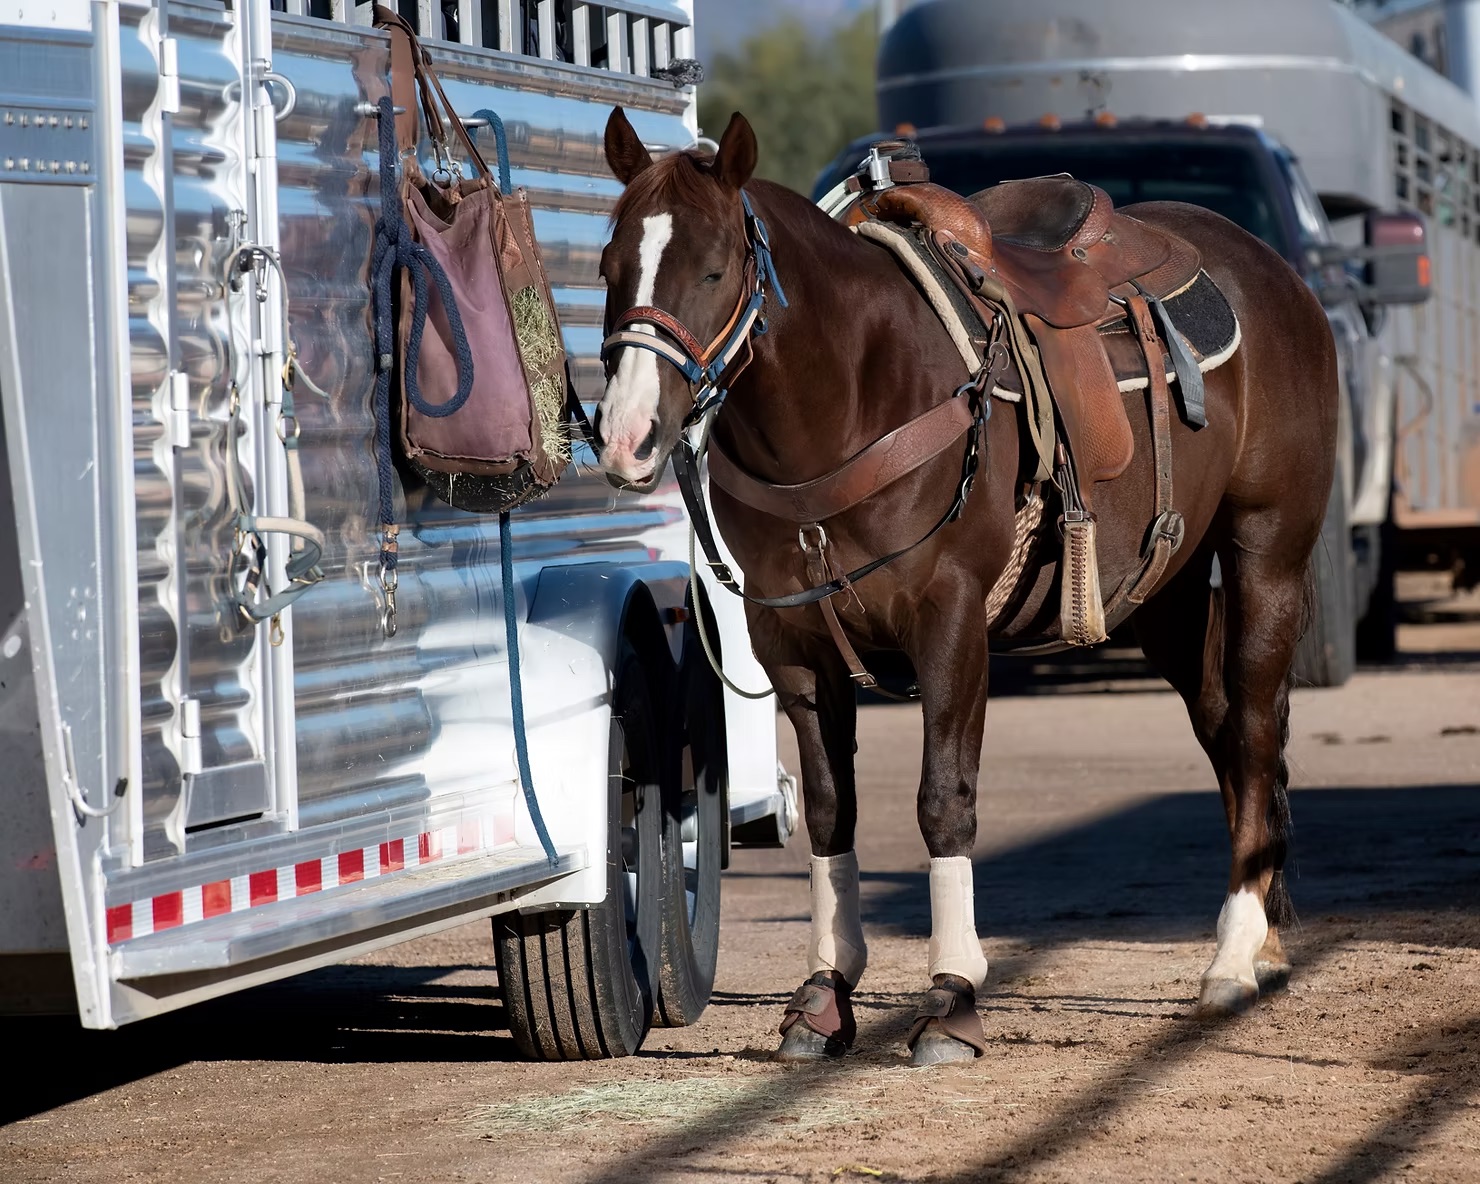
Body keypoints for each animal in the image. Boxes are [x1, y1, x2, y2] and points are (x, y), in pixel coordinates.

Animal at [591, 106, 1335, 1066]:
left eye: (715, 268)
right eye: (611, 267)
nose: (627, 437)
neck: (857, 394)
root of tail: (1276, 276)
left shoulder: (949, 621)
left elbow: (944, 800)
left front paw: (952, 998)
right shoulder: (792, 644)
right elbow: (830, 811)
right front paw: (823, 996)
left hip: (1265, 553)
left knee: (1250, 724)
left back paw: (1235, 957)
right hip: (1162, 590)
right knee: (1225, 728)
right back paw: (1265, 939)